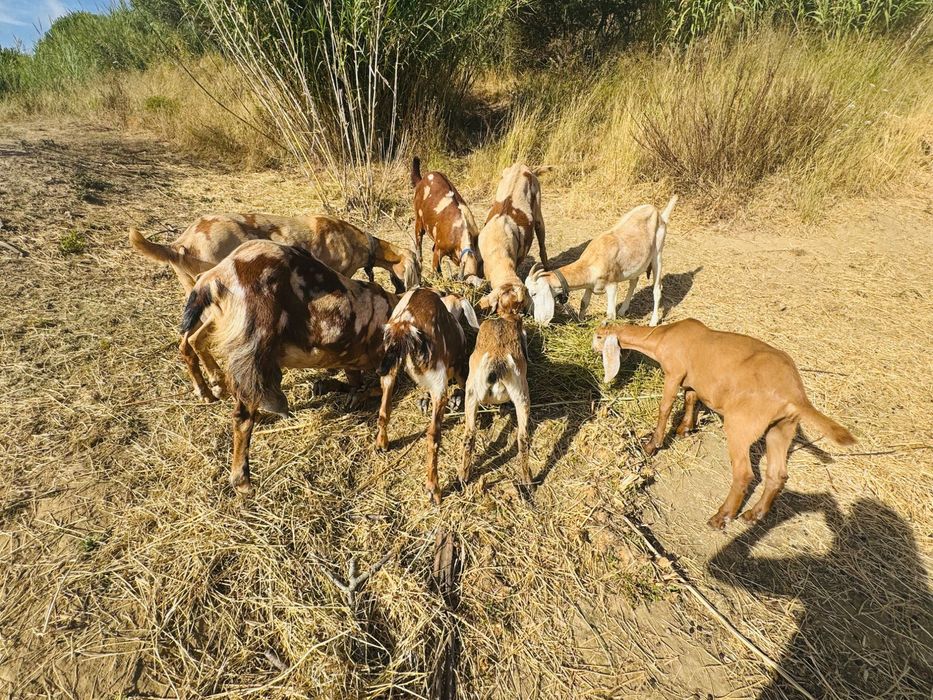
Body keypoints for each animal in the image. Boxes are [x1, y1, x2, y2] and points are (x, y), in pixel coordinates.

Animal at [180, 239, 398, 494]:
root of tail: (214, 277)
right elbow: (375, 387)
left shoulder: (351, 360)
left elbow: (355, 383)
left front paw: (330, 388)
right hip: (254, 346)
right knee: (242, 416)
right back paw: (242, 480)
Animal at [376, 288, 480, 504]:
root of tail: (405, 326)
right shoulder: (455, 369)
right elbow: (462, 386)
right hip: (440, 381)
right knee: (433, 435)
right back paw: (434, 489)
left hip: (389, 370)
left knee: (383, 410)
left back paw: (382, 443)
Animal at [461, 310, 533, 493]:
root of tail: (497, 364)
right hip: (521, 397)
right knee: (523, 438)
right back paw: (527, 481)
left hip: (472, 395)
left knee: (470, 435)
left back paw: (463, 477)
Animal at [526, 196, 677, 327]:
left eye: (534, 293)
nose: (538, 321)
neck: (592, 262)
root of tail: (659, 214)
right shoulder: (589, 286)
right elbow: (583, 303)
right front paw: (581, 322)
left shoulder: (612, 285)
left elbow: (610, 314)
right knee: (633, 282)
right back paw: (623, 310)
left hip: (658, 253)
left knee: (657, 288)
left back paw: (653, 321)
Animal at [594, 319, 856, 529]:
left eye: (598, 336)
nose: (593, 346)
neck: (664, 336)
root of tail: (794, 394)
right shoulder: (694, 381)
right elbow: (691, 399)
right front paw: (685, 429)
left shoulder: (674, 373)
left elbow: (665, 407)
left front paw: (651, 445)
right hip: (782, 428)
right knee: (777, 474)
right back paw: (753, 515)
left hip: (741, 424)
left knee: (744, 473)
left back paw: (722, 517)